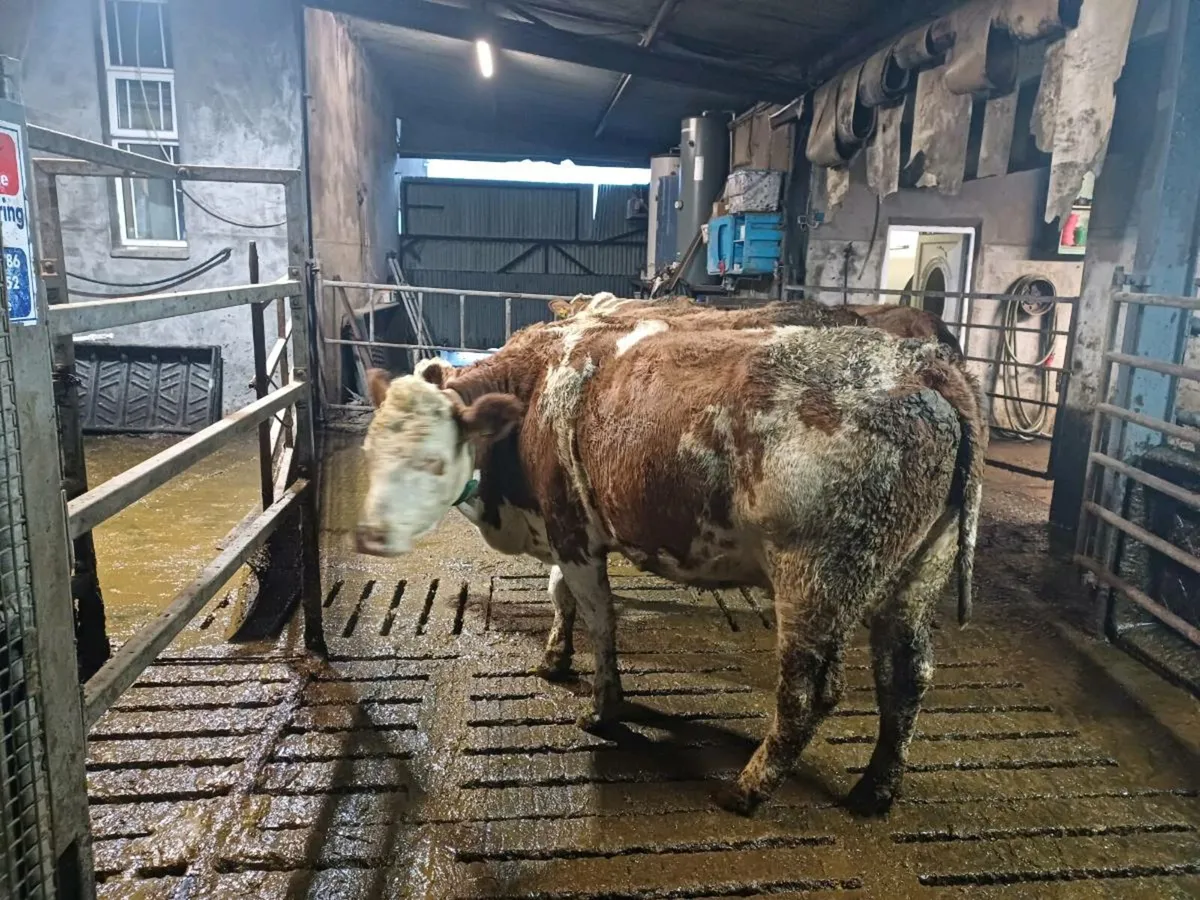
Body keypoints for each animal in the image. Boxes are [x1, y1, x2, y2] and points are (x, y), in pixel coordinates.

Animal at [356, 315, 986, 816]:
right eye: (369, 451)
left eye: (433, 461)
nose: (368, 533)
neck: (533, 392)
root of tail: (926, 365)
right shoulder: (564, 531)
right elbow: (560, 595)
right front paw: (555, 658)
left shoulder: (574, 531)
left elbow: (601, 620)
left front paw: (603, 710)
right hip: (917, 573)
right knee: (906, 676)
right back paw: (875, 790)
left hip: (816, 579)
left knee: (807, 693)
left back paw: (749, 789)